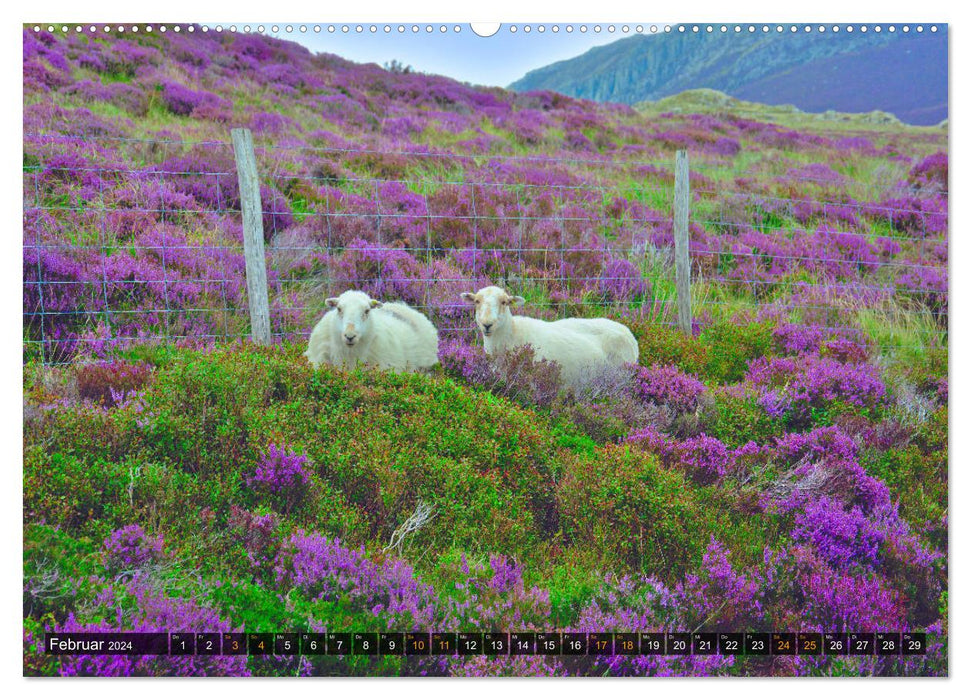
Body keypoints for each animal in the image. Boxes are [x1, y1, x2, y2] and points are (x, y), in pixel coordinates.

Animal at [462, 284, 640, 386]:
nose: (487, 324)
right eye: (477, 301)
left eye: (504, 302)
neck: (512, 334)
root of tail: (629, 334)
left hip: (620, 375)